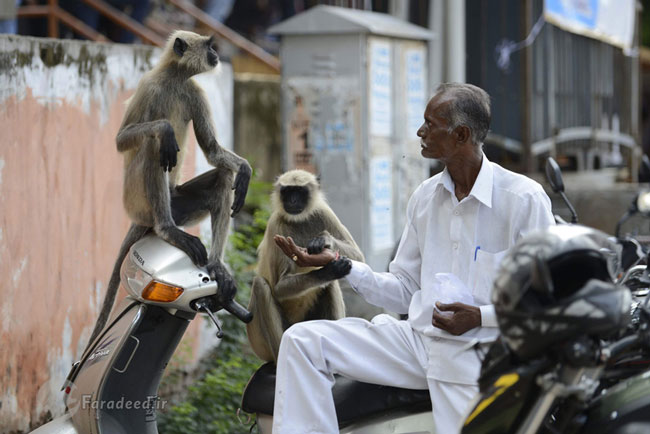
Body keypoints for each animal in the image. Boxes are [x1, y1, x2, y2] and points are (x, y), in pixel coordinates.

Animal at [90, 30, 252, 344]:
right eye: (210, 46)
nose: (217, 54)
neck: (174, 78)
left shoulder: (196, 92)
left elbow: (213, 150)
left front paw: (245, 169)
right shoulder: (148, 85)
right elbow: (122, 140)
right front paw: (164, 129)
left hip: (178, 204)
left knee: (222, 177)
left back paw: (216, 265)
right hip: (139, 203)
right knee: (154, 146)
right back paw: (167, 229)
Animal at [246, 170, 362, 362]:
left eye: (300, 191)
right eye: (287, 191)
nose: (293, 201)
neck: (298, 220)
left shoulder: (323, 212)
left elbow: (359, 257)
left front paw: (325, 241)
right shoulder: (276, 226)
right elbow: (279, 288)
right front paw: (327, 271)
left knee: (330, 285)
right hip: (260, 342)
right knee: (260, 285)